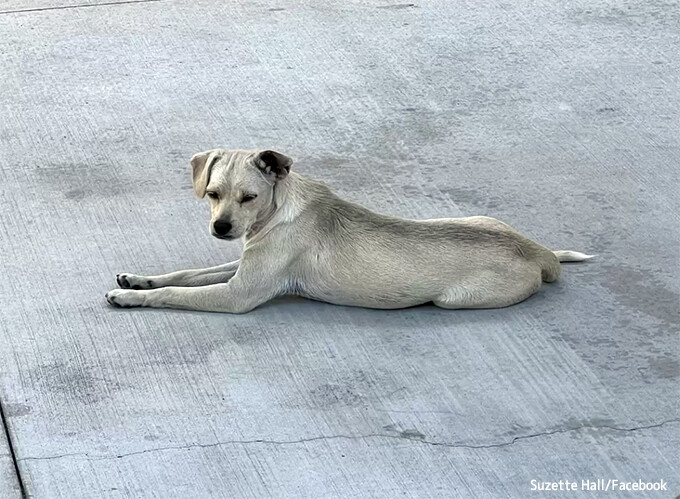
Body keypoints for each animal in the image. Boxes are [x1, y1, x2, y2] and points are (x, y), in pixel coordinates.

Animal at [103, 147, 592, 312]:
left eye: (249, 197)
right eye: (212, 193)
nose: (221, 228)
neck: (279, 209)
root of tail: (539, 253)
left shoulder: (238, 294)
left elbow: (176, 291)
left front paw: (132, 298)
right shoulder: (241, 266)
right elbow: (186, 274)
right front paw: (138, 279)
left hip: (454, 300)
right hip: (476, 218)